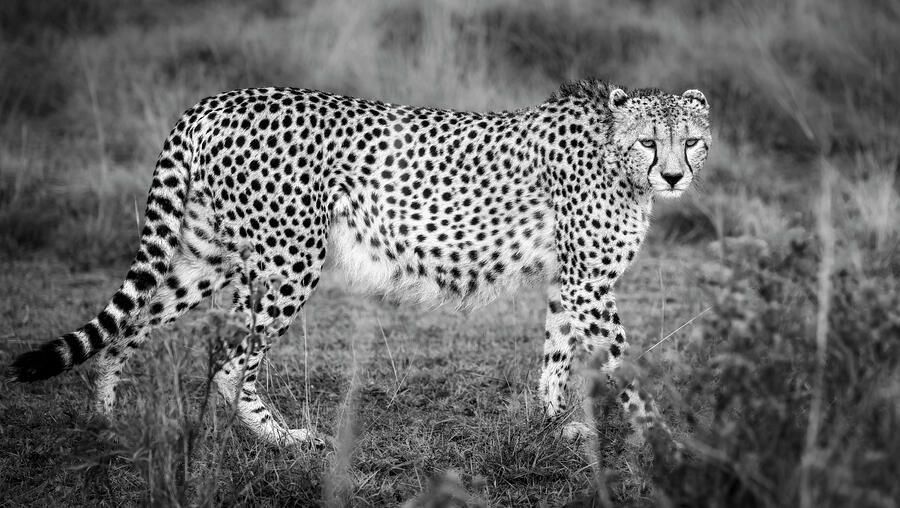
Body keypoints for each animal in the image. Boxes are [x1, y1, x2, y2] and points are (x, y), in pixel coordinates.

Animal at [8, 78, 711, 447]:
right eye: (649, 142)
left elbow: (556, 353)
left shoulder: (573, 280)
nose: (675, 176)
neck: (616, 157)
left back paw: (104, 421)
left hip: (205, 254)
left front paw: (554, 426)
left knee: (130, 326)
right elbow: (621, 360)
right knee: (232, 364)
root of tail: (217, 101)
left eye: (693, 141)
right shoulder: (590, 281)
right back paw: (287, 441)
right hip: (289, 260)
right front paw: (665, 438)